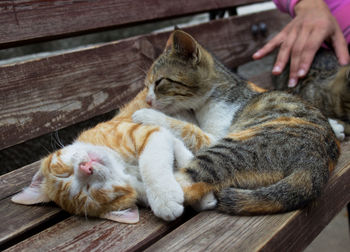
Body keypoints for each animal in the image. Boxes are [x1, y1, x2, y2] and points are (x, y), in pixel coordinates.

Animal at [133, 30, 340, 215]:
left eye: (159, 82)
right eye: (146, 85)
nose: (148, 101)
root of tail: (315, 164)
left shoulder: (215, 135)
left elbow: (188, 129)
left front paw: (146, 114)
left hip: (233, 148)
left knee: (187, 181)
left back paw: (161, 198)